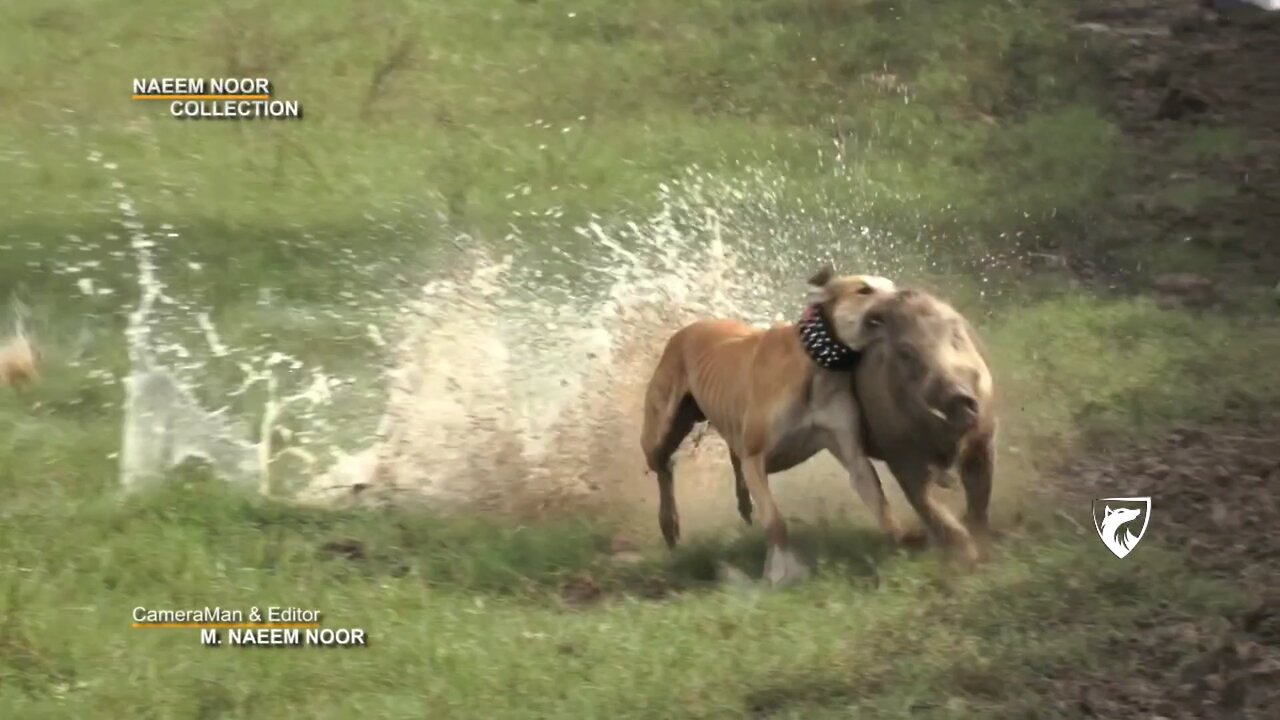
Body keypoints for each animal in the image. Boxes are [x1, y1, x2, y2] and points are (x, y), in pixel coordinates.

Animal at [640, 267, 901, 584]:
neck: (814, 365)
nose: (906, 296)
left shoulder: (852, 454)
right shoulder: (756, 458)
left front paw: (899, 548)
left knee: (731, 456)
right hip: (661, 429)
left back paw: (742, 504)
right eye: (864, 290)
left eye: (892, 286)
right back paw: (669, 522)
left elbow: (879, 501)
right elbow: (775, 520)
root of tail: (687, 329)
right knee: (665, 467)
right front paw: (779, 571)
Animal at [849, 288, 998, 563]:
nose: (957, 395)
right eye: (906, 353)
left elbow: (980, 493)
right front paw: (967, 559)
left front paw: (982, 550)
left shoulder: (984, 435)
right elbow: (925, 502)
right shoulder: (899, 453)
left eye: (956, 335)